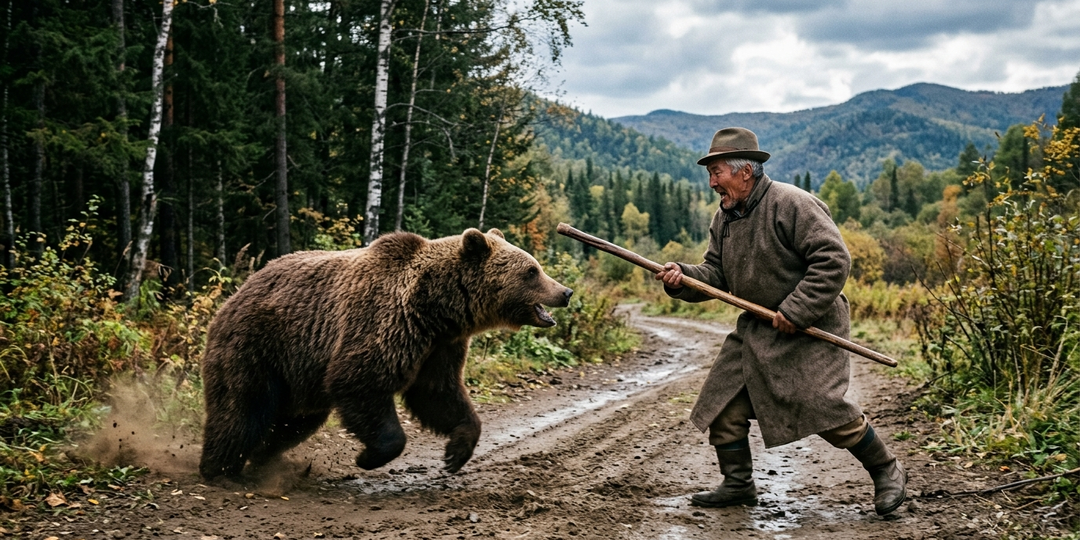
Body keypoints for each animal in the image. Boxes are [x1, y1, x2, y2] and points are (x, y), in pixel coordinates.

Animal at [197, 228, 573, 480]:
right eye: (532, 271)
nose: (565, 292)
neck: (436, 308)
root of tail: (233, 295)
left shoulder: (439, 346)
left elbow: (438, 394)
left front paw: (456, 451)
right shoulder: (383, 321)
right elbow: (361, 381)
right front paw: (368, 456)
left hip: (298, 378)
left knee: (294, 422)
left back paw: (262, 458)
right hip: (257, 347)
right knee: (242, 410)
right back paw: (218, 468)